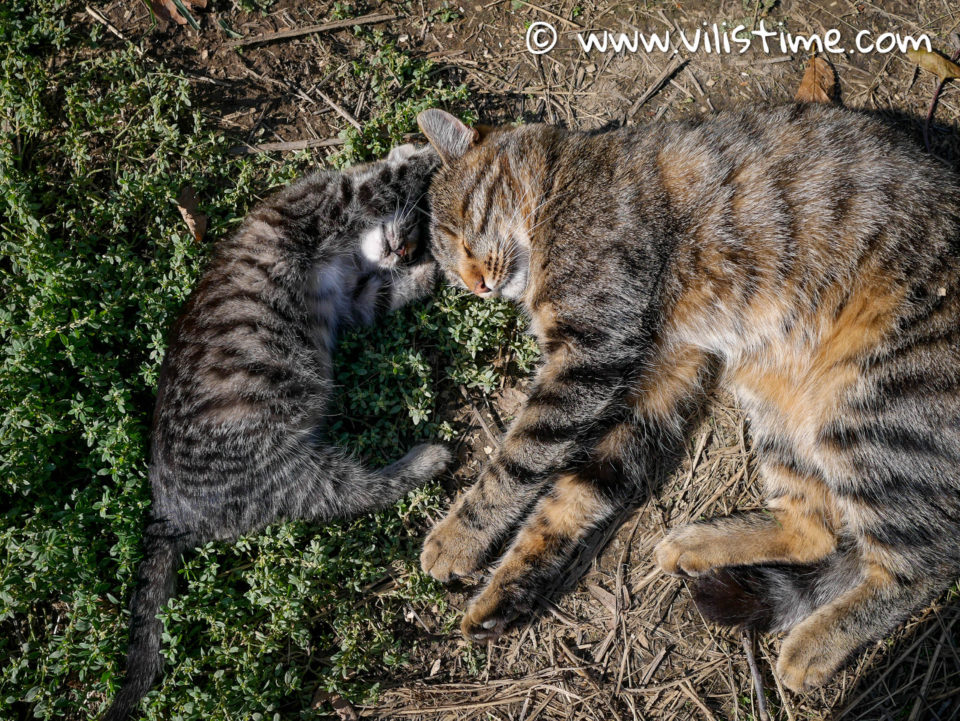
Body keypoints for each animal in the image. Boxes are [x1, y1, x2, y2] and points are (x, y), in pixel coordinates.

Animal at [105, 143, 450, 716]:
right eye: (412, 228)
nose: (405, 250)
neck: (353, 254)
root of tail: (168, 511)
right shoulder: (327, 204)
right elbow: (379, 178)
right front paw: (423, 155)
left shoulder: (355, 301)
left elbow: (382, 293)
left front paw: (426, 274)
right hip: (295, 469)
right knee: (363, 493)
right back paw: (427, 458)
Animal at [416, 105, 960, 692]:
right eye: (449, 264)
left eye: (459, 227)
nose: (473, 284)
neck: (559, 184)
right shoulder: (656, 380)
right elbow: (571, 498)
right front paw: (502, 593)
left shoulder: (590, 354)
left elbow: (516, 461)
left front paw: (457, 538)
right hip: (776, 403)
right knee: (815, 529)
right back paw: (698, 545)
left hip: (871, 406)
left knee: (923, 568)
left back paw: (812, 647)